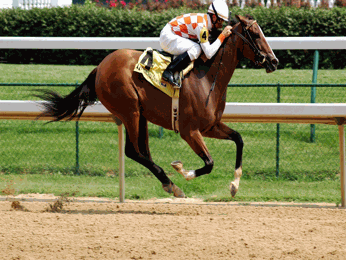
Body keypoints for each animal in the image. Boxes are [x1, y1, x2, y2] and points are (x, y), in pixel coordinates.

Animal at [37, 15, 278, 198]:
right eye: (255, 34)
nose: (274, 61)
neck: (208, 77)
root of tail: (100, 66)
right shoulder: (190, 131)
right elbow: (209, 163)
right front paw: (182, 170)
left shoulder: (210, 126)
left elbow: (239, 139)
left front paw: (234, 185)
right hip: (130, 110)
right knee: (133, 151)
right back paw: (172, 184)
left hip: (140, 115)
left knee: (143, 151)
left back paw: (168, 183)